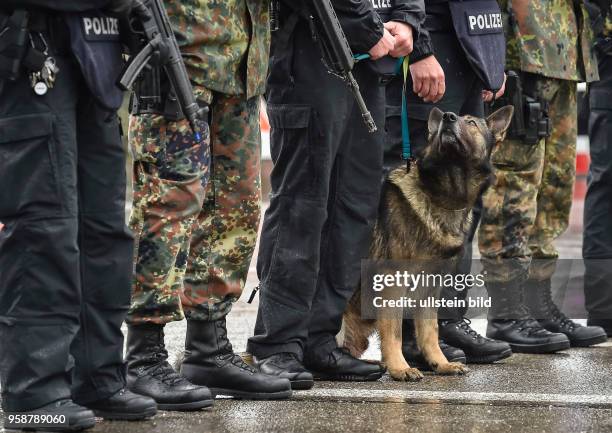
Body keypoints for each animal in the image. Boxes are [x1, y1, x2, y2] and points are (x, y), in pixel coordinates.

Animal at [342, 106, 512, 380]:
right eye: (459, 119)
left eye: (471, 123)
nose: (448, 117)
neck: (440, 197)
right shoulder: (392, 283)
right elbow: (394, 332)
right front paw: (400, 367)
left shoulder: (429, 288)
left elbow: (430, 331)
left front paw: (440, 363)